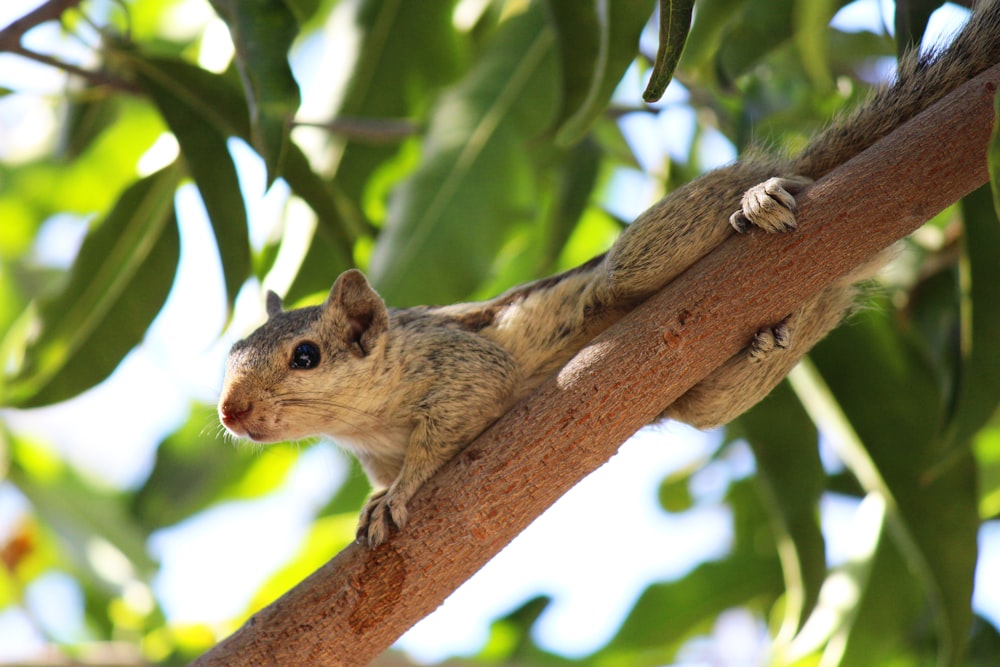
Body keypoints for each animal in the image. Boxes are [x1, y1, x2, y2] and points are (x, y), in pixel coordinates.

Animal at [215, 1, 1000, 548]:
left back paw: (766, 193)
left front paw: (396, 497)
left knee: (698, 223)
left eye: (306, 356)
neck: (364, 424)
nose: (229, 412)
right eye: (230, 354)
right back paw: (782, 330)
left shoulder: (461, 361)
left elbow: (457, 419)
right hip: (707, 394)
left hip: (636, 264)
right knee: (779, 344)